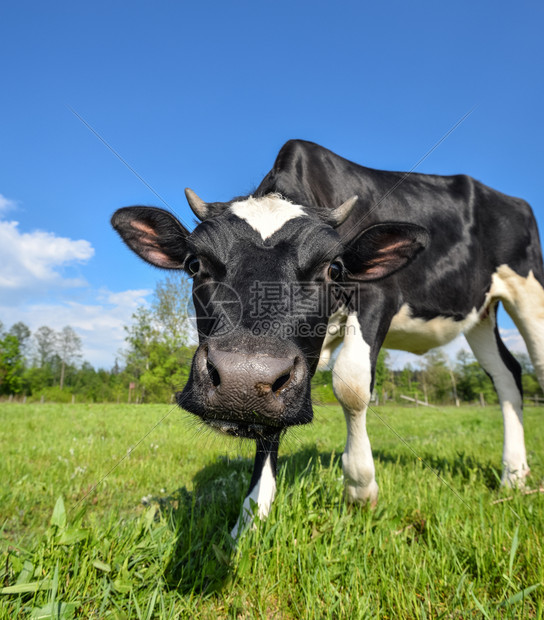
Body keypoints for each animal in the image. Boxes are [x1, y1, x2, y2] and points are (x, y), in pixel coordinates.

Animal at [111, 139, 544, 536]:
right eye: (195, 264)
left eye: (334, 268)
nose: (240, 379)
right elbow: (269, 421)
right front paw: (252, 516)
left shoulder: (377, 296)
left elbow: (350, 384)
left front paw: (360, 487)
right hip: (481, 313)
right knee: (507, 374)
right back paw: (513, 473)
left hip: (528, 289)